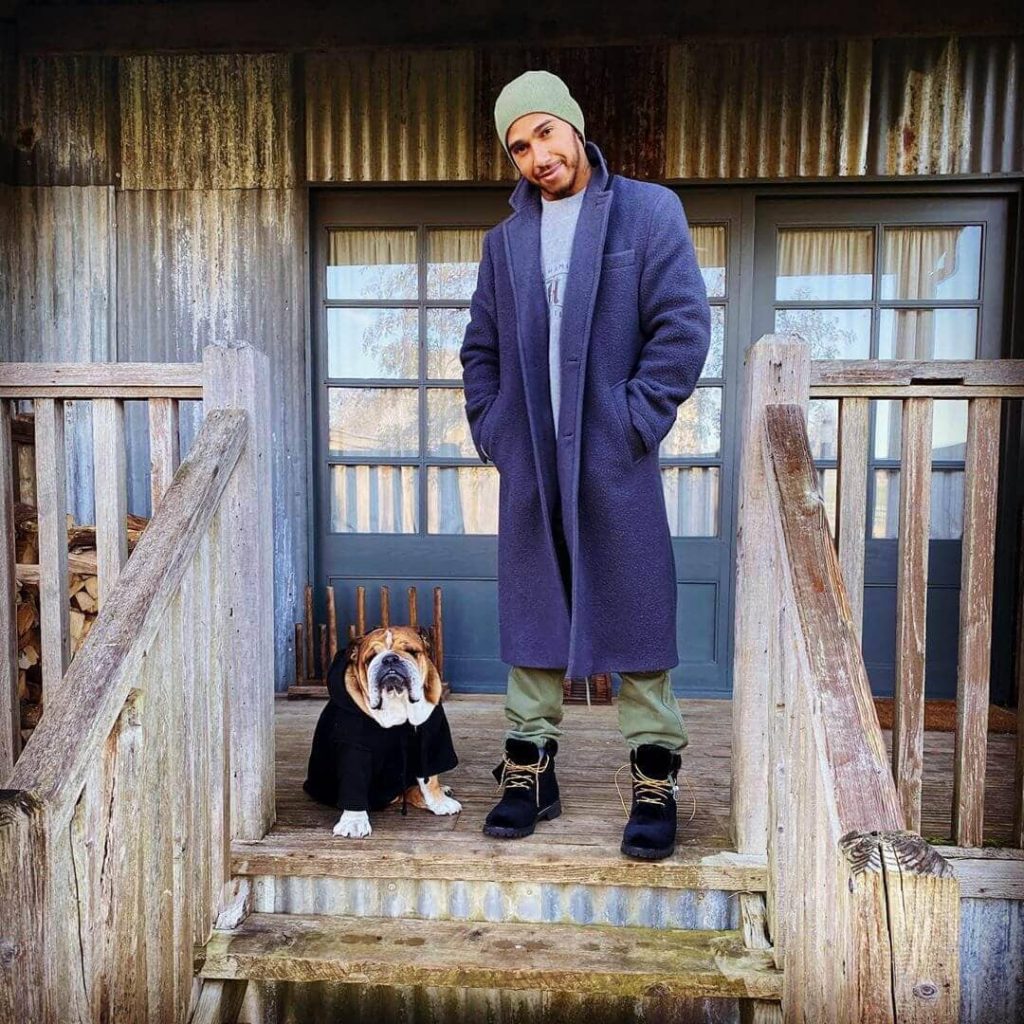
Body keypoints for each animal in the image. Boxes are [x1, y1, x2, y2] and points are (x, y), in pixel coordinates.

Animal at [302, 625, 461, 838]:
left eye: (411, 651)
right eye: (370, 658)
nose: (390, 659)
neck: (397, 701)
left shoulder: (428, 737)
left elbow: (430, 778)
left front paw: (439, 801)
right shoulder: (355, 747)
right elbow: (354, 783)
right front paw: (354, 822)